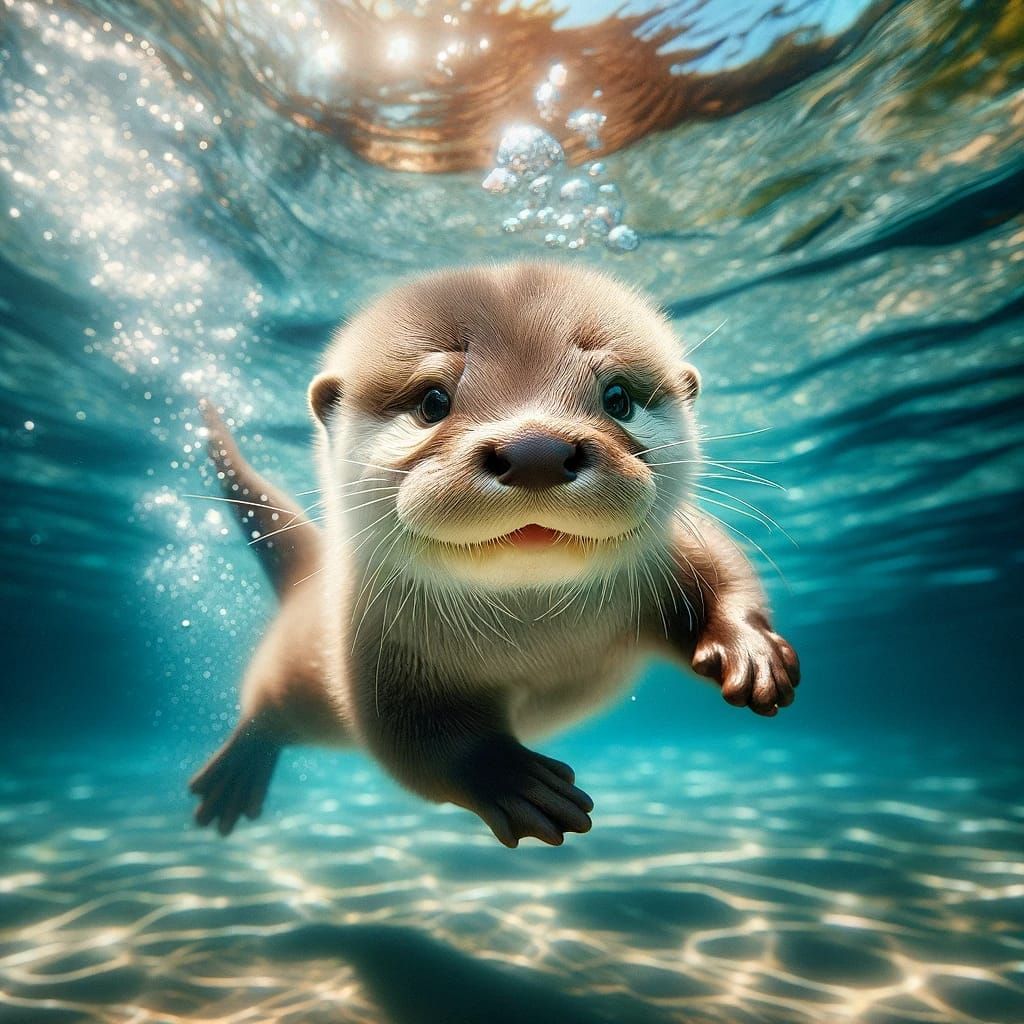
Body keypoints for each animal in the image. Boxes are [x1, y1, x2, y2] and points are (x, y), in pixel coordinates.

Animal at [189, 262, 800, 846]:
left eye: (618, 398)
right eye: (432, 401)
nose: (536, 450)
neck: (536, 637)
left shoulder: (672, 548)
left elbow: (722, 566)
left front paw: (748, 649)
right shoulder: (373, 646)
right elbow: (414, 739)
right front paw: (514, 780)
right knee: (265, 714)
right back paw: (235, 773)